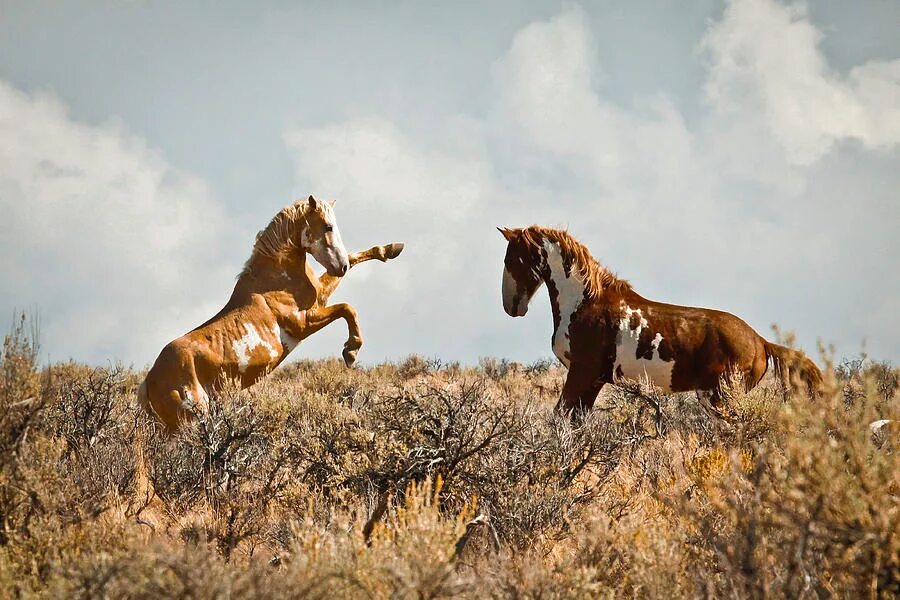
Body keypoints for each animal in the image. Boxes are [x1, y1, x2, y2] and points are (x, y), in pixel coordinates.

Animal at [140, 197, 404, 432]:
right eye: (328, 226)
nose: (340, 267)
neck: (276, 279)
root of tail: (149, 381)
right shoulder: (304, 323)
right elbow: (347, 308)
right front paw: (351, 352)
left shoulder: (320, 298)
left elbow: (353, 263)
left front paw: (391, 249)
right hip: (190, 422)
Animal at [500, 225, 824, 418]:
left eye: (510, 260)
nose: (511, 307)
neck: (586, 302)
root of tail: (761, 342)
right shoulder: (593, 380)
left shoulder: (582, 373)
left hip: (719, 398)